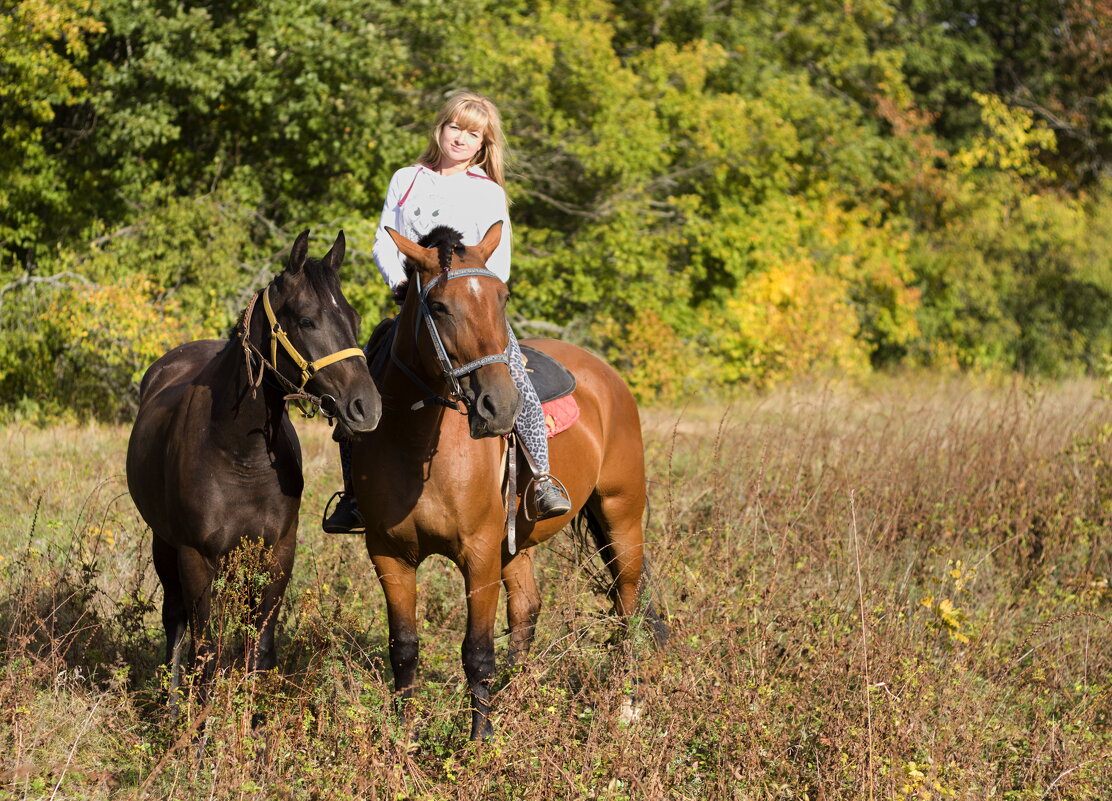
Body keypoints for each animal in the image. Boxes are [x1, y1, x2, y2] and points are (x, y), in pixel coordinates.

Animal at [127, 228, 380, 712]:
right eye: (307, 320)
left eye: (354, 317)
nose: (367, 407)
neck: (237, 453)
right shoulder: (195, 556)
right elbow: (204, 650)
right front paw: (198, 726)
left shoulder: (278, 552)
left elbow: (259, 648)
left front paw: (256, 721)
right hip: (163, 542)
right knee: (175, 621)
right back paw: (171, 704)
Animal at [351, 222, 662, 743]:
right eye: (439, 306)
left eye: (502, 297)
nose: (499, 405)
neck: (420, 449)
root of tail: (607, 375)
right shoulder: (390, 554)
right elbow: (404, 647)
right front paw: (405, 738)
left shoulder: (478, 553)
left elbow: (477, 651)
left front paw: (480, 742)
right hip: (518, 540)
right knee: (527, 610)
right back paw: (518, 697)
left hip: (621, 514)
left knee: (627, 602)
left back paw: (626, 705)